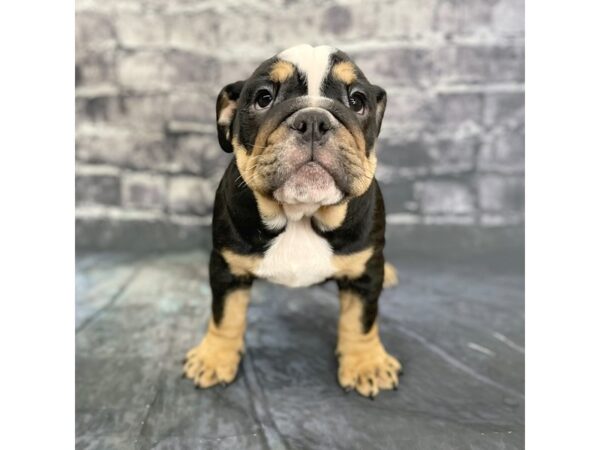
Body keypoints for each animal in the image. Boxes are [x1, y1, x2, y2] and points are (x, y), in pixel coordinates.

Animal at [180, 44, 400, 398]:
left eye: (357, 102)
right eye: (264, 98)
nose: (313, 120)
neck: (301, 214)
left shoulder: (365, 275)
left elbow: (361, 320)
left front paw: (367, 364)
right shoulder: (227, 267)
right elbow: (225, 315)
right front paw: (214, 357)